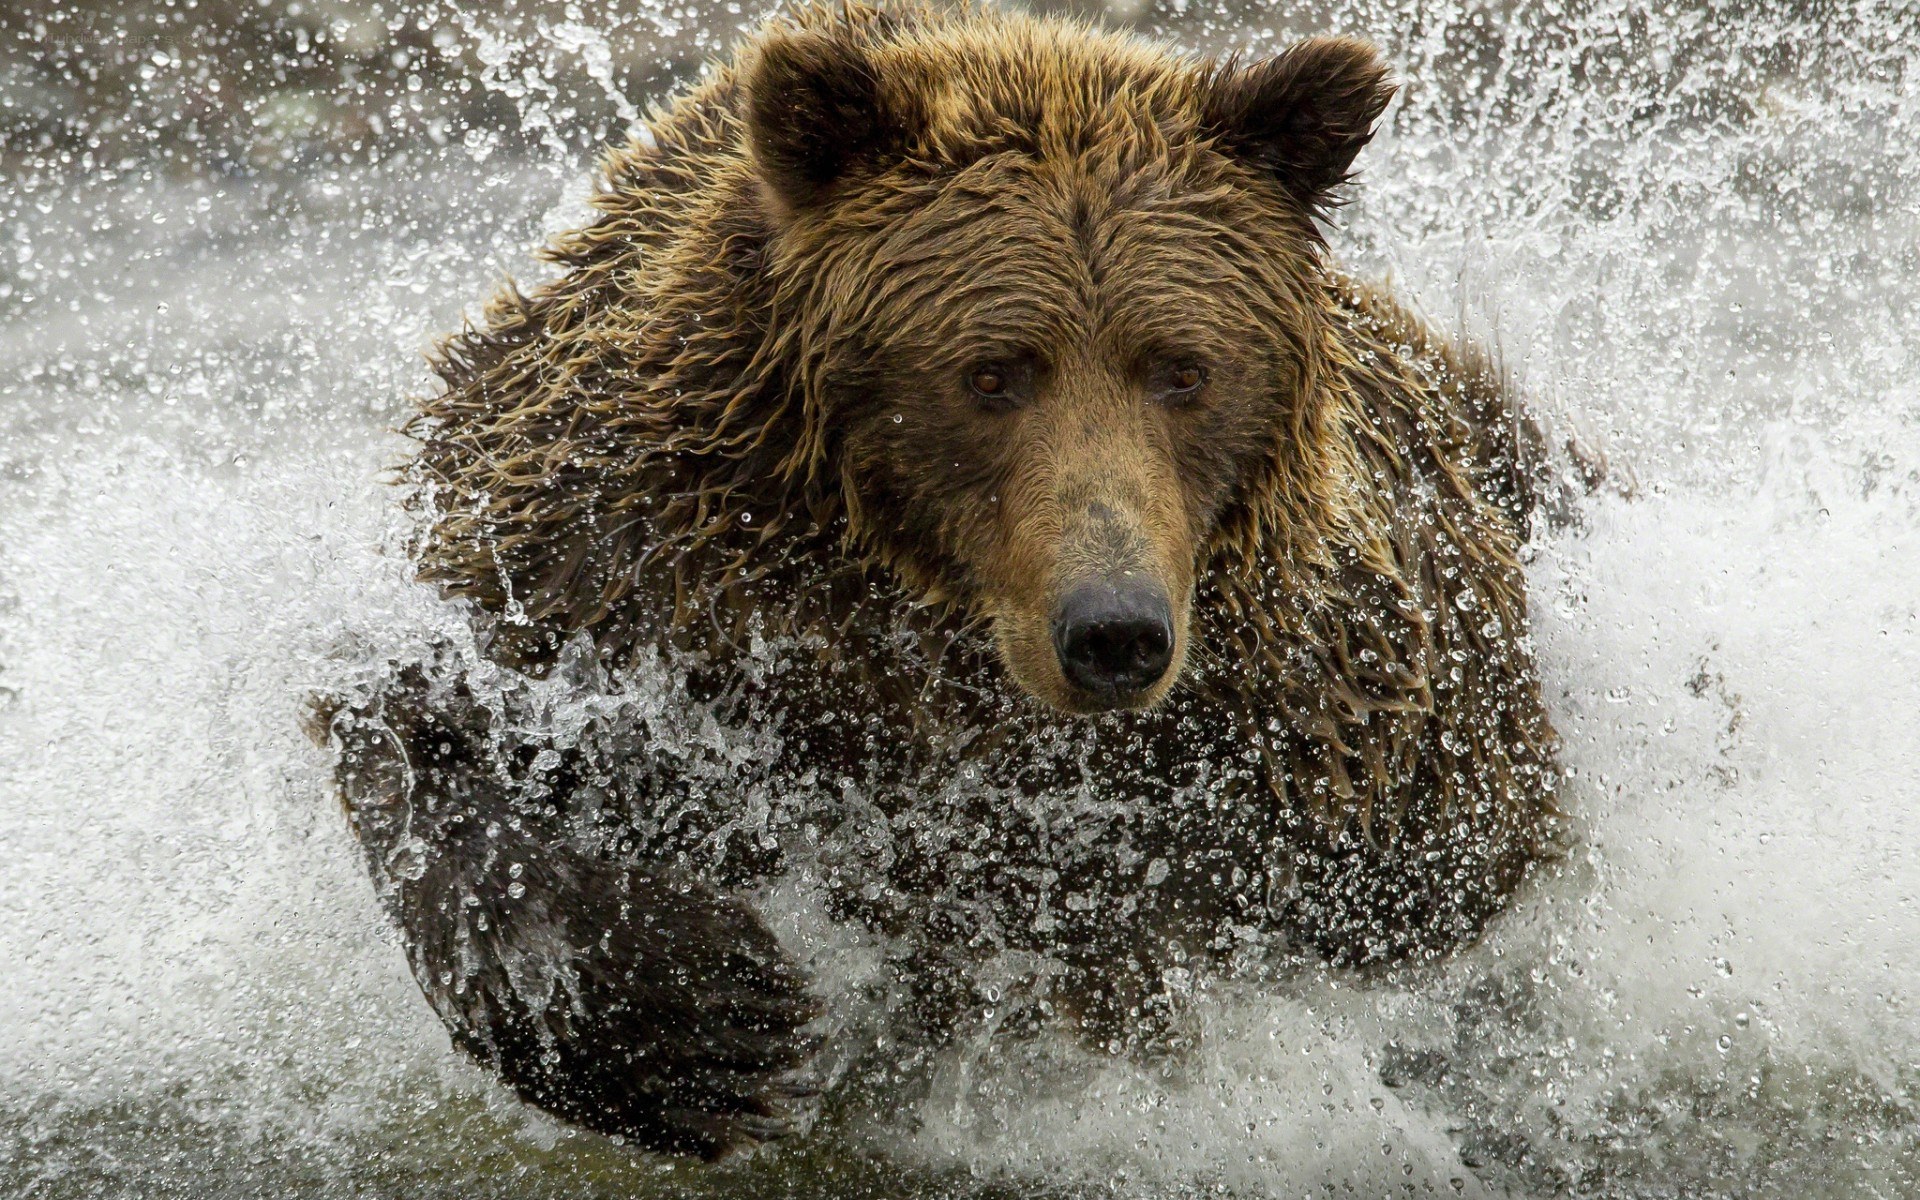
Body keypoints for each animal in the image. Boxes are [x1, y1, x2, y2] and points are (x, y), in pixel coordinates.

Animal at [320, 0, 1560, 1162]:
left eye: (1183, 368)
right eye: (992, 372)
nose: (1113, 631)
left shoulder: (1329, 704)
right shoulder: (612, 581)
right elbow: (418, 720)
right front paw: (703, 1022)